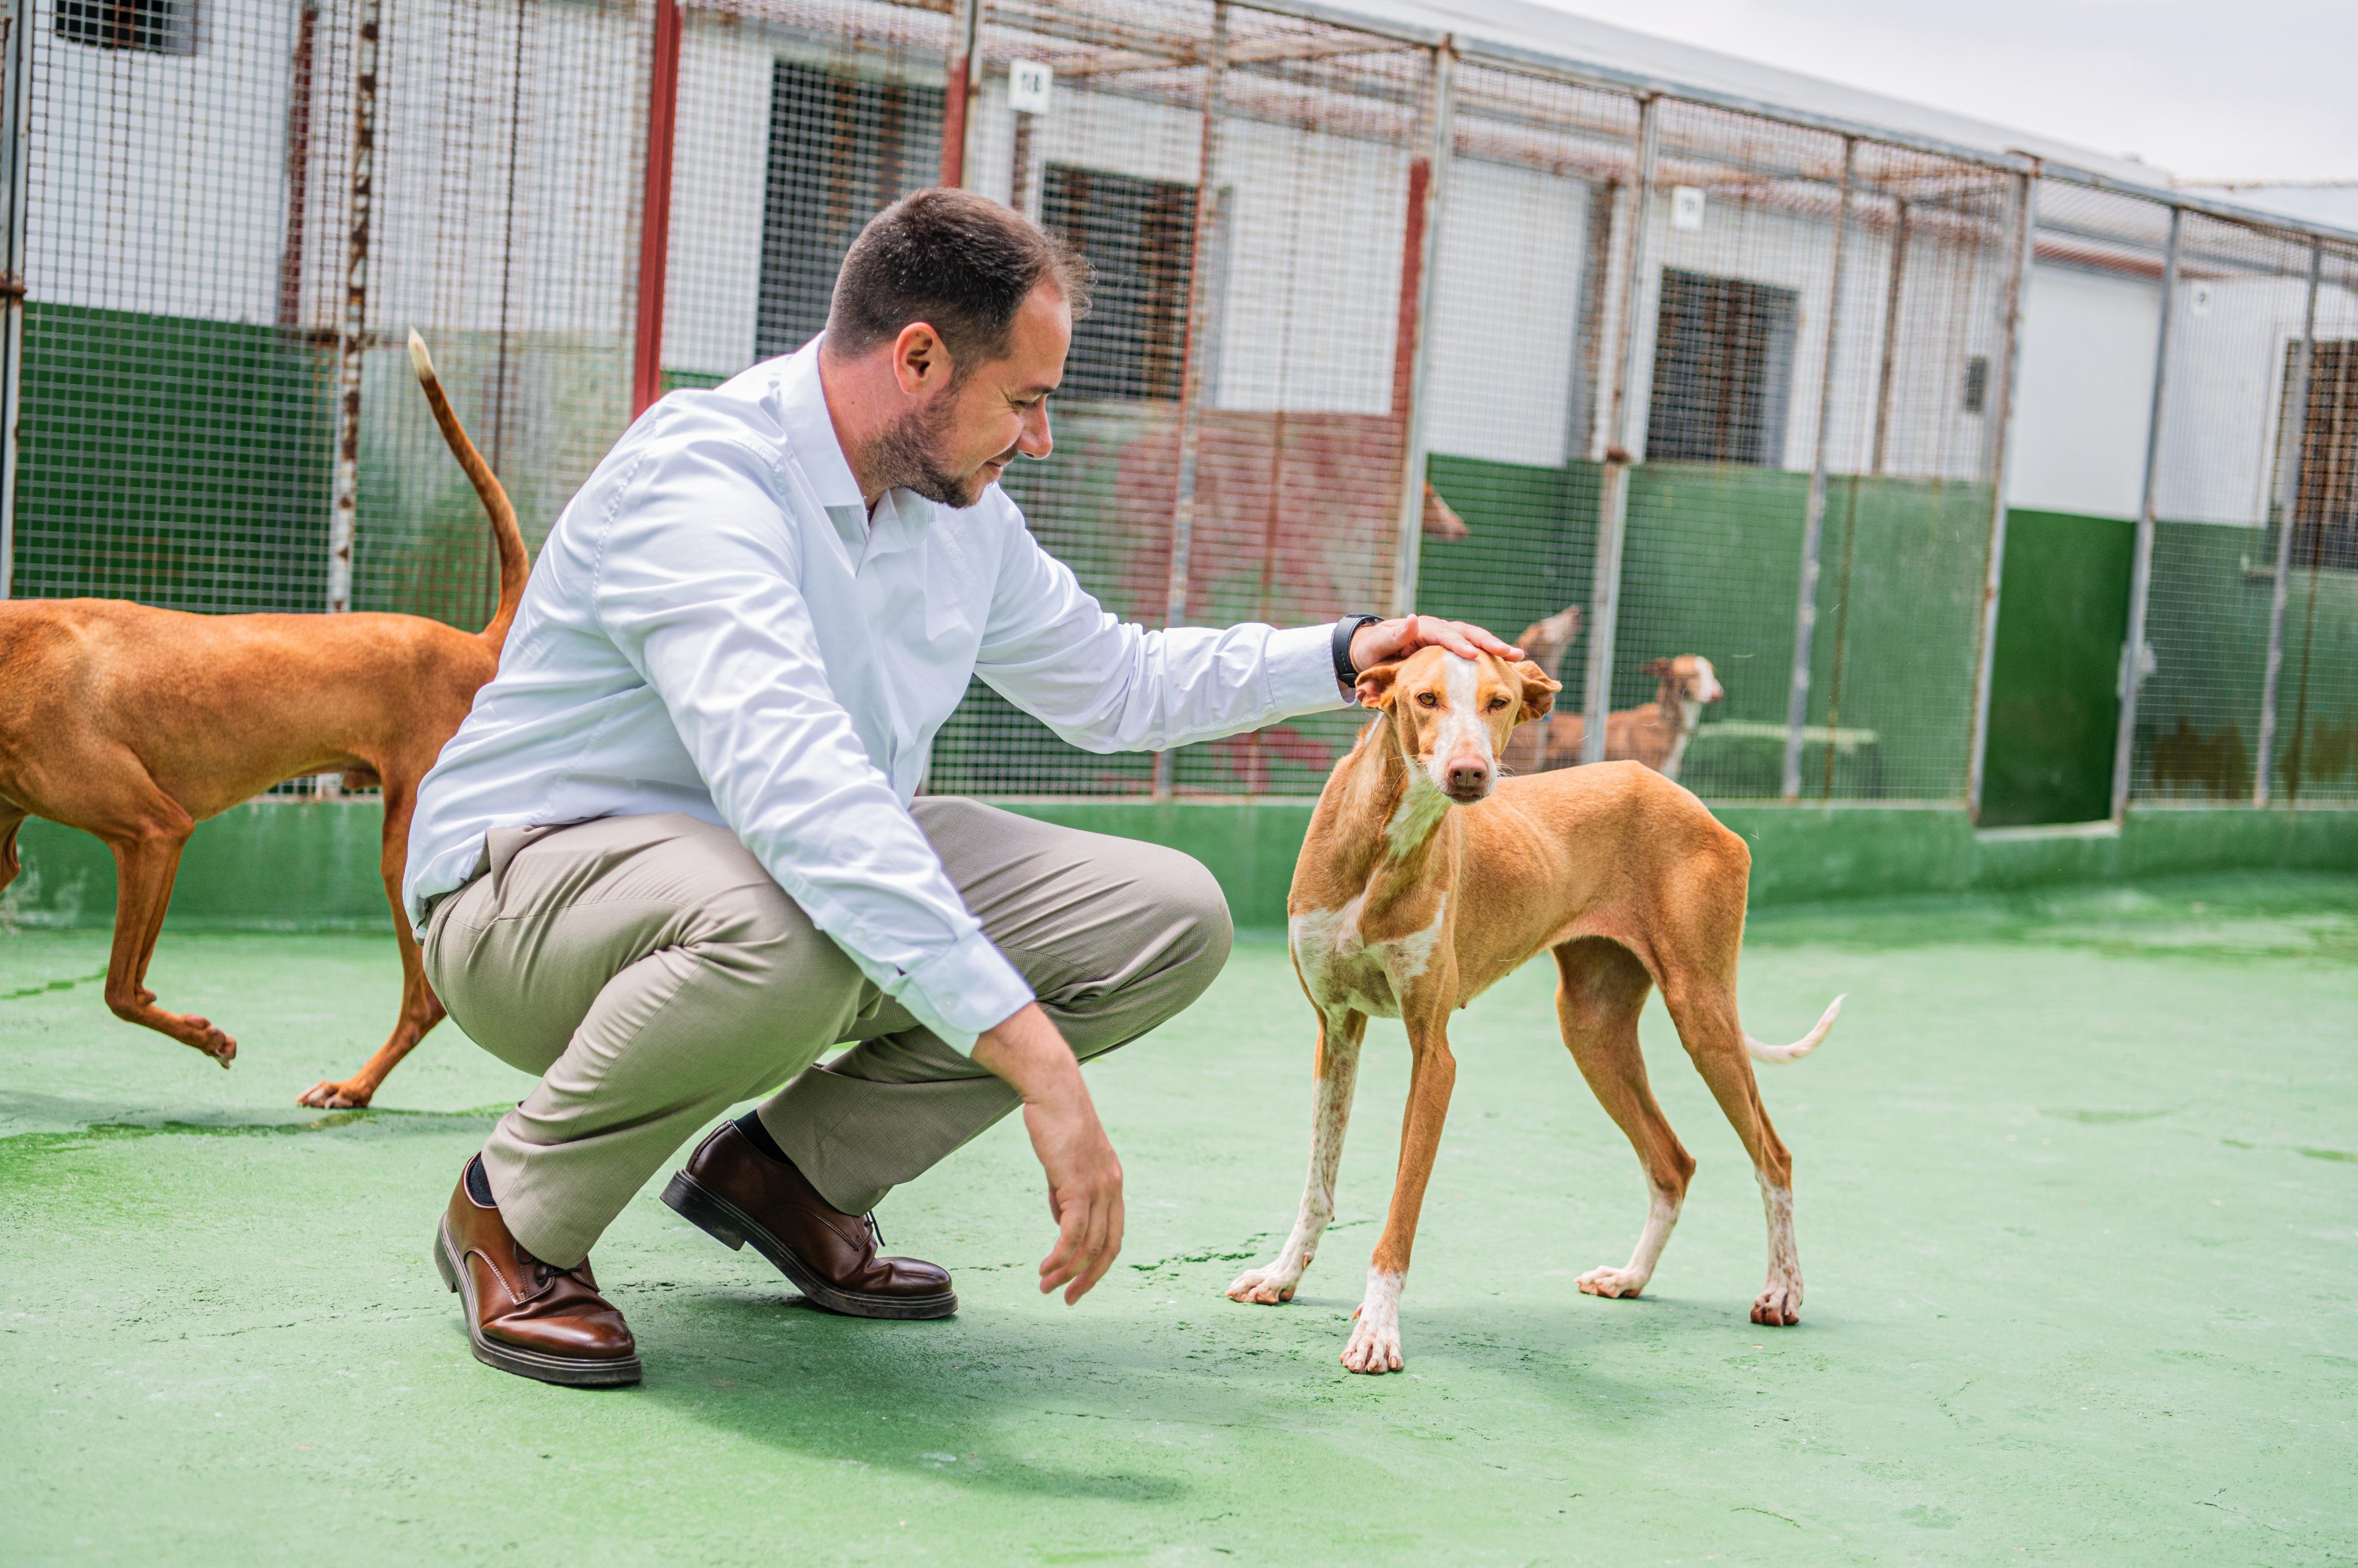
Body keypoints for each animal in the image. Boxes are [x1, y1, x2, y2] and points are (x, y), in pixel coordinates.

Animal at [1235, 641, 1839, 1367]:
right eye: (1424, 698)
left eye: (1499, 702)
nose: (1469, 772)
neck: (1385, 841)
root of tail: (1683, 796)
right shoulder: (1336, 1030)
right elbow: (1317, 1184)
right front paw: (1281, 1276)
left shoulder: (1432, 1057)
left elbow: (1400, 1209)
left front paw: (1376, 1327)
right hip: (1591, 1030)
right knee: (1672, 1162)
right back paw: (1631, 1278)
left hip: (1703, 1018)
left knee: (1771, 1156)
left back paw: (1781, 1291)